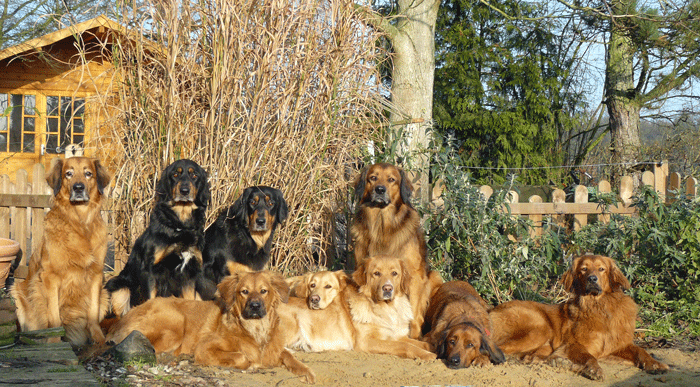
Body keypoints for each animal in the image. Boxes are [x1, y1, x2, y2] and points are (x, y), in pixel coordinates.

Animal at [11, 157, 110, 346]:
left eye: (88, 173)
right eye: (68, 174)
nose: (78, 188)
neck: (80, 222)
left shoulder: (96, 274)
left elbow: (93, 312)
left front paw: (99, 338)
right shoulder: (50, 277)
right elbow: (54, 316)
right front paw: (54, 341)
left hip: (105, 295)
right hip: (16, 290)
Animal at [105, 159, 212, 316]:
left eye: (194, 176)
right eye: (175, 174)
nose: (184, 191)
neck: (179, 226)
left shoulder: (189, 274)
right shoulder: (150, 270)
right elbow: (150, 300)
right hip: (118, 286)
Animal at [105, 272, 316, 384]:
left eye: (264, 291)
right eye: (244, 292)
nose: (255, 306)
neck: (255, 329)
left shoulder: (274, 348)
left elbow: (289, 355)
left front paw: (306, 371)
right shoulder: (204, 347)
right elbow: (242, 356)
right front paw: (251, 363)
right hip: (175, 320)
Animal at [350, 162, 442, 338]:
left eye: (391, 179)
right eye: (373, 177)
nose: (380, 189)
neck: (382, 225)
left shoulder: (415, 276)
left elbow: (414, 314)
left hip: (434, 276)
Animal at [490, 256, 668, 380]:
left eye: (601, 269)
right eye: (583, 269)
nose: (592, 279)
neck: (599, 306)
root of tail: (491, 310)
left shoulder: (616, 345)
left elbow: (640, 350)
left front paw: (654, 364)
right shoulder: (573, 345)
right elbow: (588, 356)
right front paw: (594, 370)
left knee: (529, 357)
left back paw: (558, 362)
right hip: (539, 327)